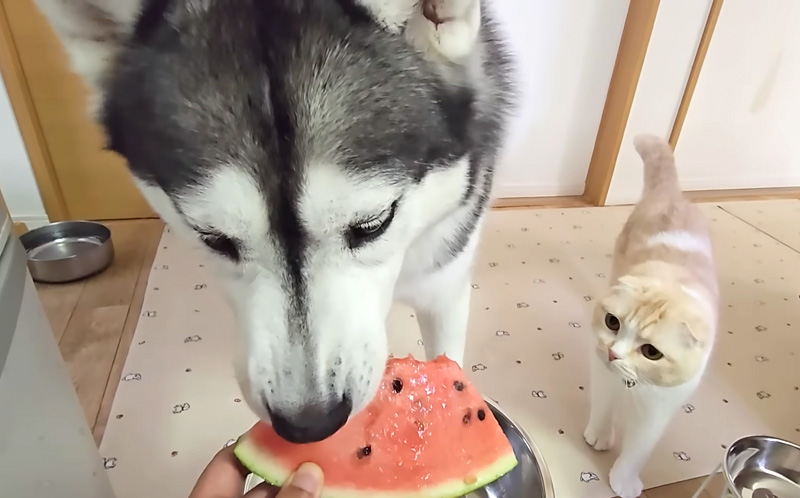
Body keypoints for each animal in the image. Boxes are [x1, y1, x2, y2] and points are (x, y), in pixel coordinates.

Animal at [580, 133, 720, 498]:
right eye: (612, 323)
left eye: (651, 352)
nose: (613, 353)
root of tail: (673, 194)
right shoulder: (601, 371)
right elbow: (603, 407)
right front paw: (599, 436)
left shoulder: (660, 408)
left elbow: (639, 448)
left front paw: (623, 482)